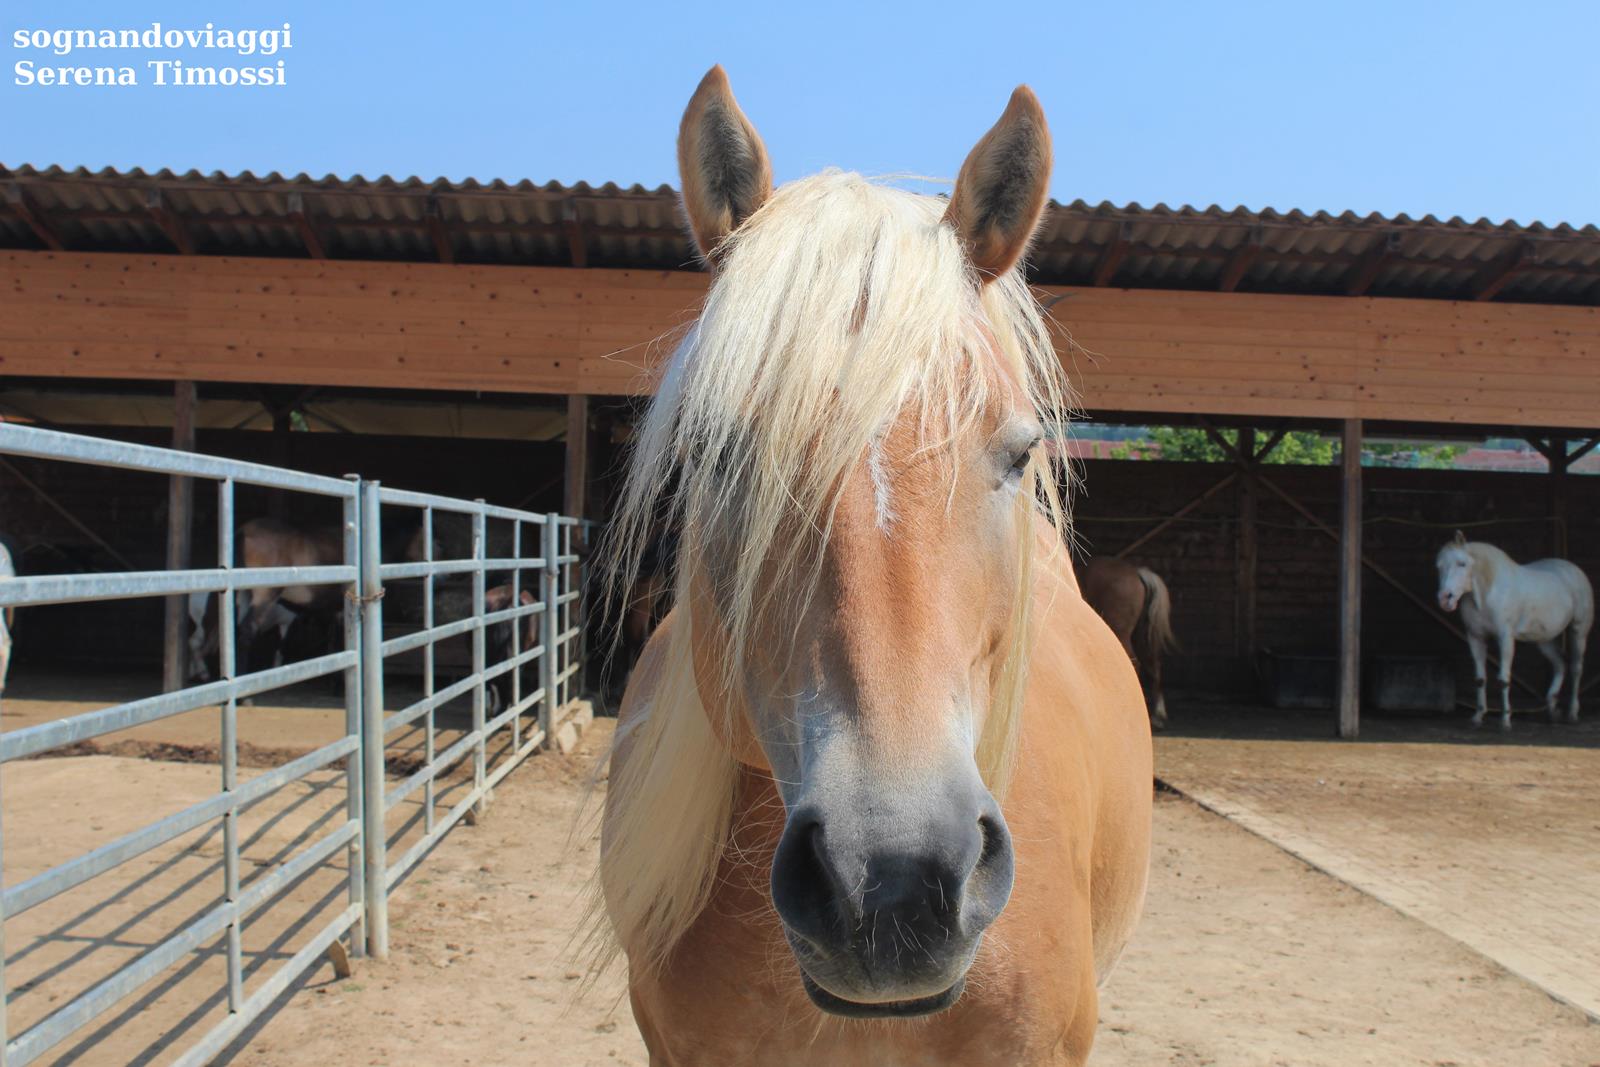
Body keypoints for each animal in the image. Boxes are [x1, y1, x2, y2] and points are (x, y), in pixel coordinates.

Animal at [1080, 557, 1177, 729]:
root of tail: (1137, 572)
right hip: (1141, 635)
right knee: (1153, 664)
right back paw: (1157, 716)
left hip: (1121, 632)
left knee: (1133, 662)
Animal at [1436, 531, 1593, 730]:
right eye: (1439, 566)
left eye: (1461, 563)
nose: (1445, 598)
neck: (1488, 592)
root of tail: (1574, 570)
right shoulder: (1475, 637)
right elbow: (1480, 678)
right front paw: (1478, 716)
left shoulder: (1505, 638)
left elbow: (1504, 679)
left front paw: (1505, 721)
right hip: (1544, 640)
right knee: (1560, 665)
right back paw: (1552, 710)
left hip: (1578, 632)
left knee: (1575, 668)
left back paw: (1572, 713)